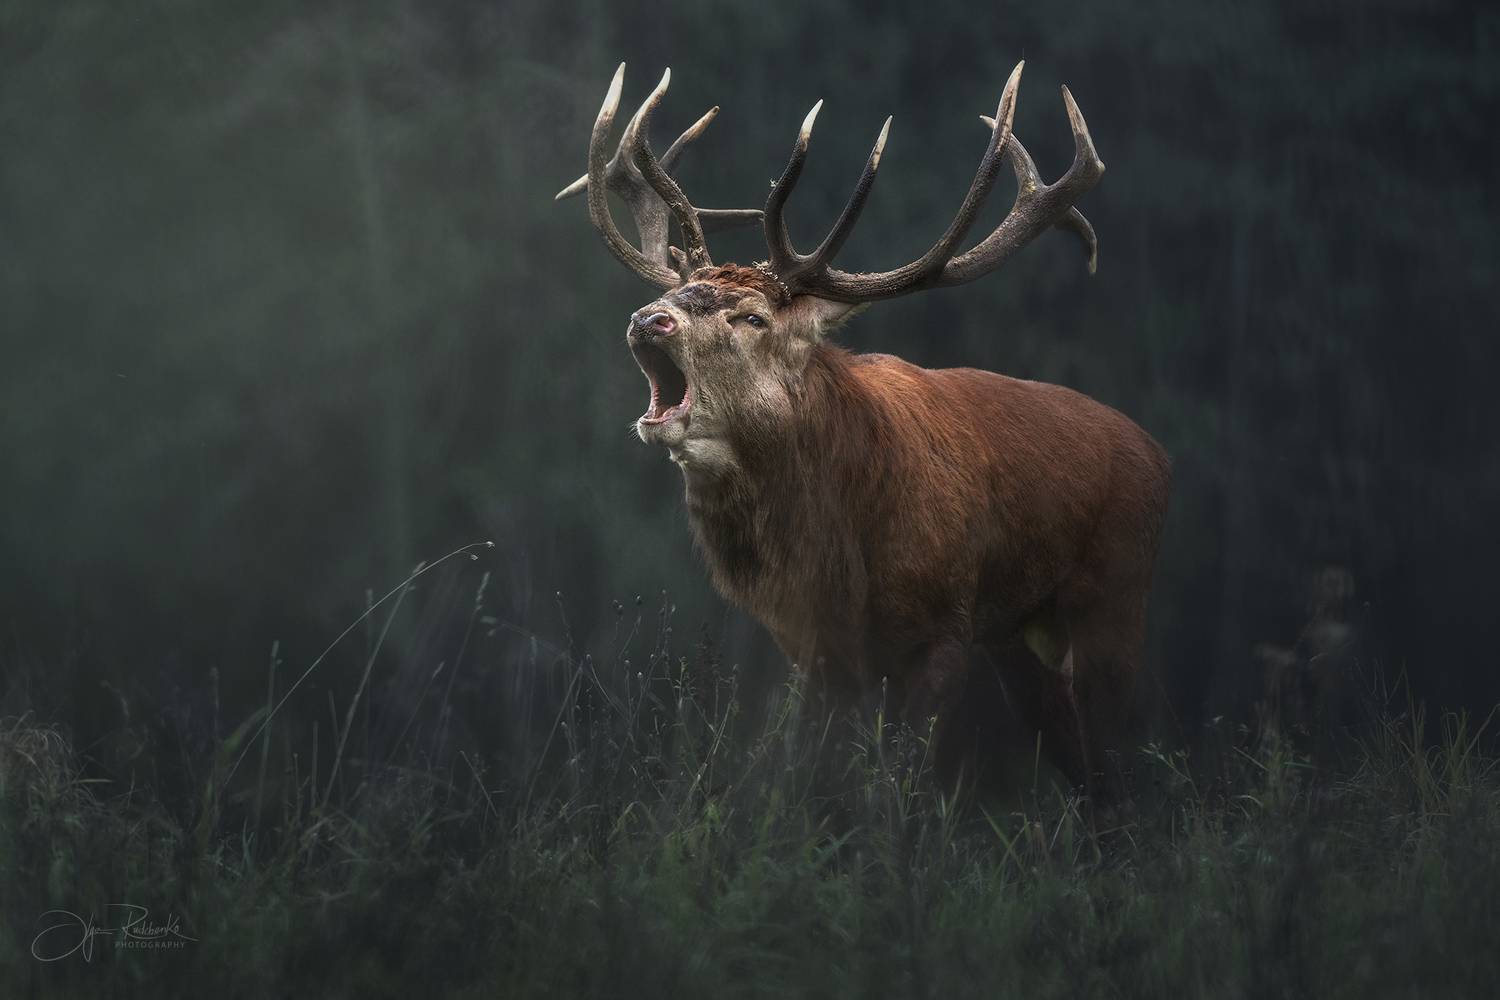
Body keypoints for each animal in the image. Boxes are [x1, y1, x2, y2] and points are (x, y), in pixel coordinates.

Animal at [555, 62, 1171, 799]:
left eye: (754, 317)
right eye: (677, 293)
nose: (650, 318)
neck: (845, 558)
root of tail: (1159, 456)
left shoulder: (943, 626)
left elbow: (898, 785)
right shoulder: (816, 649)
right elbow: (824, 777)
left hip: (1118, 590)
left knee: (1112, 758)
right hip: (1020, 633)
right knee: (1080, 761)